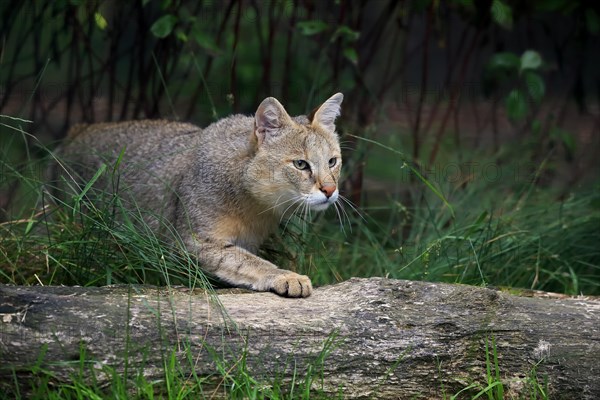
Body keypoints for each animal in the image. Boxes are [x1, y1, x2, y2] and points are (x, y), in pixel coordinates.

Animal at [59, 92, 346, 296]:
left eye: (332, 162)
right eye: (301, 164)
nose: (330, 190)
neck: (254, 205)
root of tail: (79, 130)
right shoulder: (191, 241)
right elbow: (246, 262)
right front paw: (284, 276)